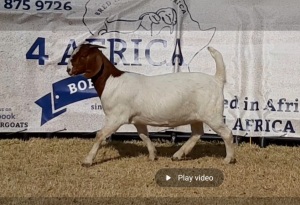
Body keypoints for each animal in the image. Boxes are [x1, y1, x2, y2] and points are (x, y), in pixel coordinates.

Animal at [67, 42, 236, 167]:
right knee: (197, 133)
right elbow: (144, 135)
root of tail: (217, 79)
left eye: (82, 56)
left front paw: (87, 161)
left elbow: (100, 135)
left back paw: (228, 159)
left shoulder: (116, 117)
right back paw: (178, 155)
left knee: (226, 133)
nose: (68, 69)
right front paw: (153, 155)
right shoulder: (138, 119)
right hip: (196, 116)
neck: (111, 81)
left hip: (212, 114)